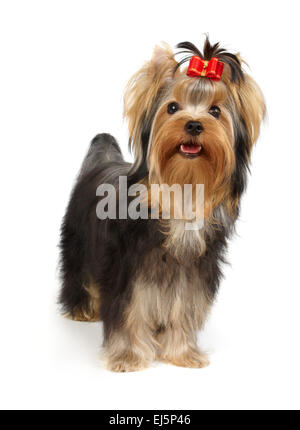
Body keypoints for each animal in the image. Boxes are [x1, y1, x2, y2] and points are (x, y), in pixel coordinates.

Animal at [59, 37, 264, 372]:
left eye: (215, 111)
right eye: (172, 107)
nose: (194, 125)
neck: (181, 192)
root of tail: (104, 161)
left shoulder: (192, 272)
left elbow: (184, 308)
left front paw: (182, 353)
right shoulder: (129, 271)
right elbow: (130, 311)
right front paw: (128, 356)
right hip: (79, 239)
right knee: (78, 271)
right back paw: (81, 309)